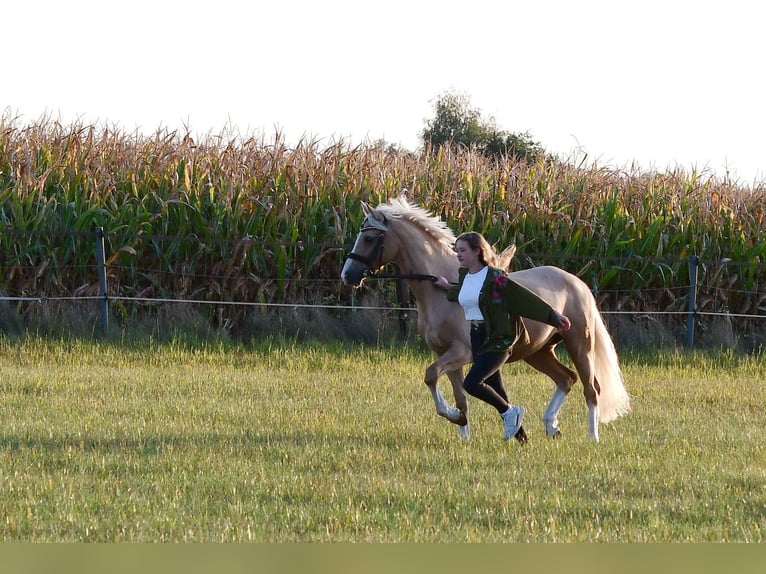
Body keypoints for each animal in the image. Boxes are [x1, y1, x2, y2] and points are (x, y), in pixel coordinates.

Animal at [342, 196, 632, 444]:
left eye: (369, 238)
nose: (348, 275)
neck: (441, 293)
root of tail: (578, 283)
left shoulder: (462, 352)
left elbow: (430, 375)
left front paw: (454, 417)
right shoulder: (445, 353)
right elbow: (460, 396)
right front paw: (463, 431)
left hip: (579, 345)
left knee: (591, 389)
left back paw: (591, 436)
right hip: (537, 352)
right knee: (566, 379)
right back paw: (551, 425)